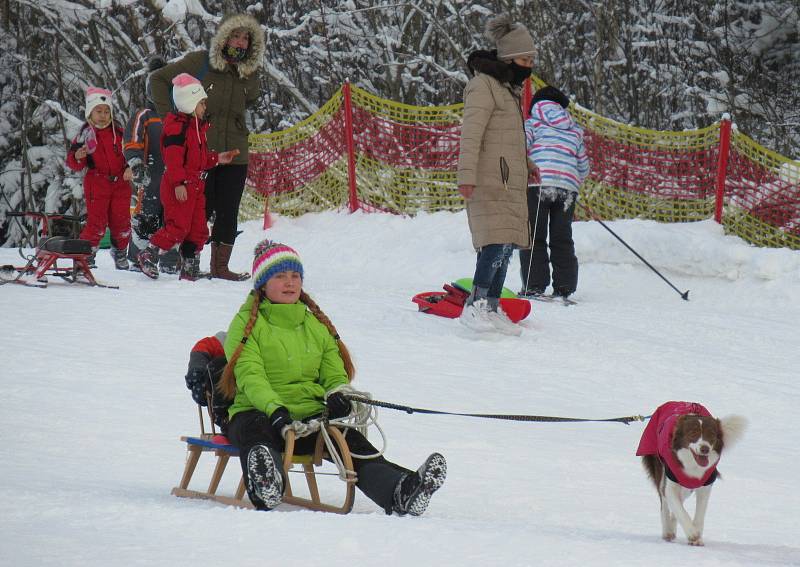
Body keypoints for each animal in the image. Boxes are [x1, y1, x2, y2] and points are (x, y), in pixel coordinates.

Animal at [636, 402, 748, 548]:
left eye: (711, 434)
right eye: (693, 433)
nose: (705, 449)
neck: (693, 466)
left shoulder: (705, 484)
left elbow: (699, 513)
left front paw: (696, 537)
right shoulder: (670, 482)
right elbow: (679, 509)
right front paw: (692, 533)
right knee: (664, 502)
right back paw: (667, 531)